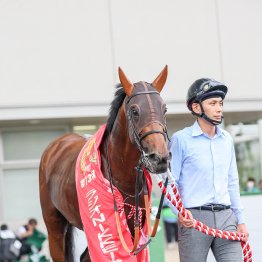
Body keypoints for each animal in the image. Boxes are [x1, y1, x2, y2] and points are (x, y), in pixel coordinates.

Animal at [39, 65, 170, 260]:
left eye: (164, 109)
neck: (122, 175)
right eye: (135, 111)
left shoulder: (133, 231)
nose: (159, 157)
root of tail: (56, 144)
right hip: (54, 226)